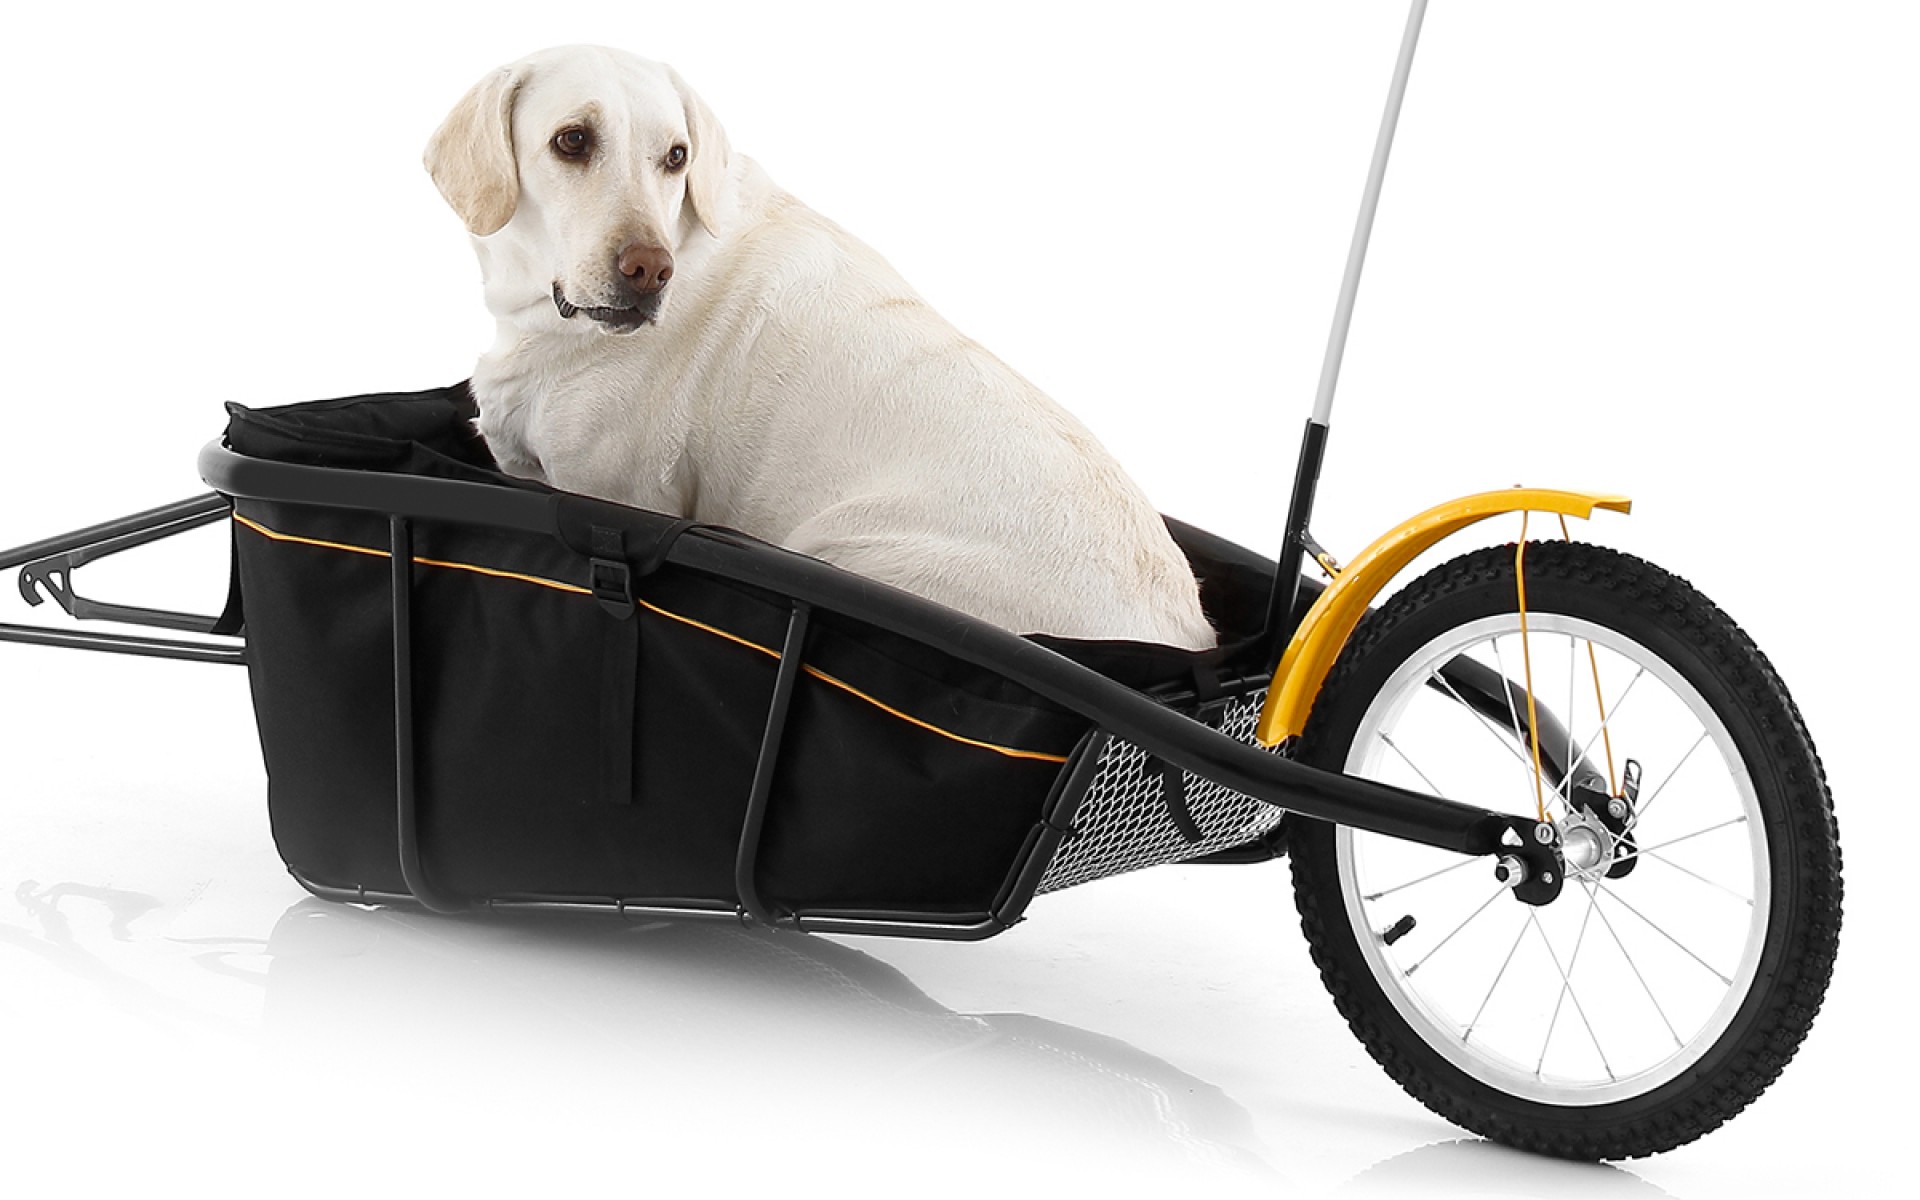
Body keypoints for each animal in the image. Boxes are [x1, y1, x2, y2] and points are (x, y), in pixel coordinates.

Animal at [425, 45, 1215, 649]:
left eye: (676, 157)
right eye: (571, 141)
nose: (650, 272)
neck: (544, 317)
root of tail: (1189, 645)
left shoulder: (611, 495)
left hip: (837, 551)